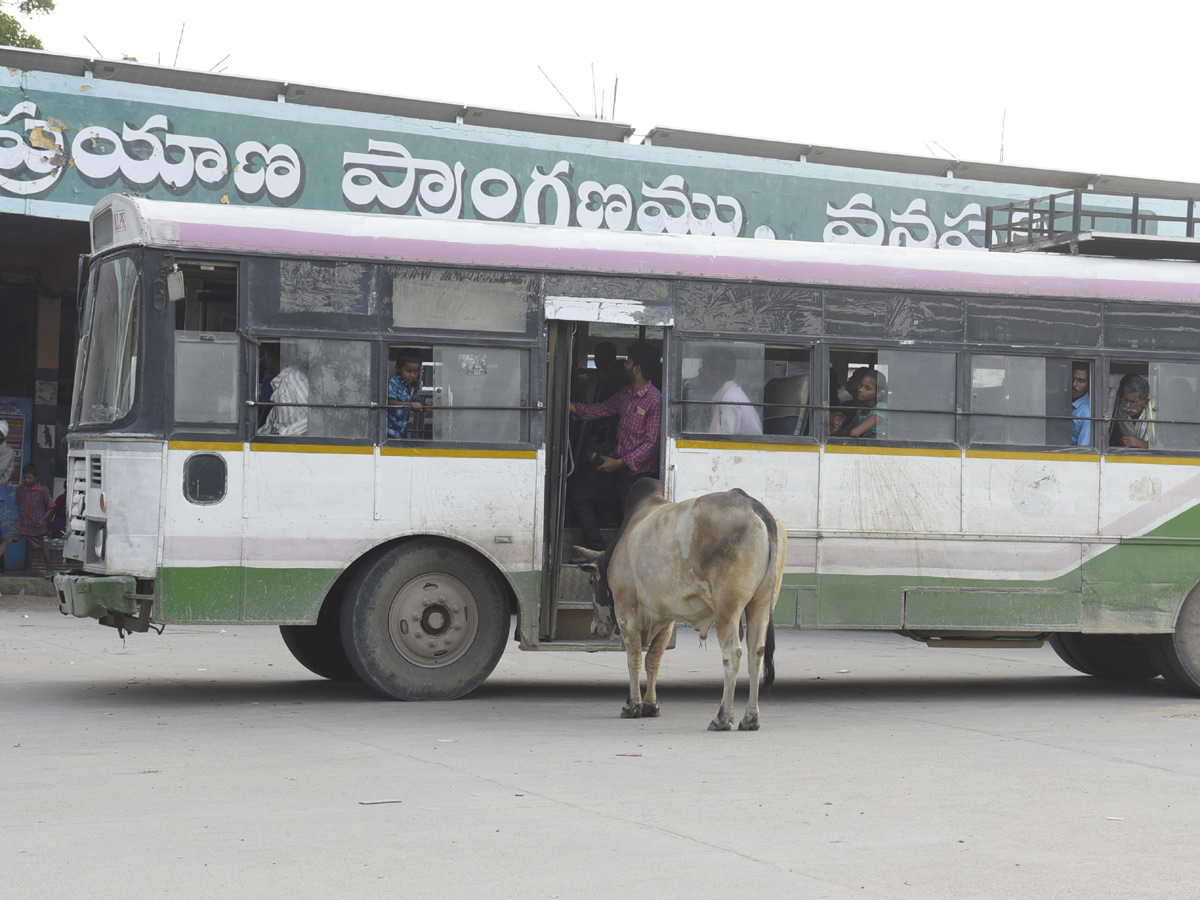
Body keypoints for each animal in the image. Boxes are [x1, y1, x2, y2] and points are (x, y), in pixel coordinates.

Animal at [573, 480, 787, 734]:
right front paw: (650, 705)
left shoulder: (626, 613)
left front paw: (632, 706)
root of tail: (752, 504)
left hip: (727, 607)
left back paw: (722, 718)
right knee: (757, 654)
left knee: (733, 654)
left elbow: (633, 658)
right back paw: (750, 719)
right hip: (761, 604)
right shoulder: (665, 619)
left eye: (591, 581)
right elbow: (653, 660)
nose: (595, 628)